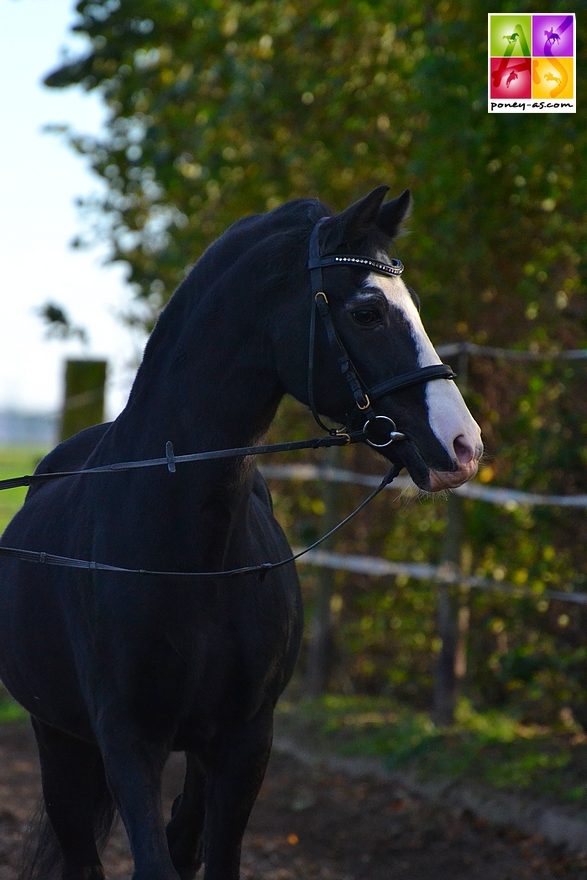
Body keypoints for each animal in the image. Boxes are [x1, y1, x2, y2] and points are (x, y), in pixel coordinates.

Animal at [0, 187, 482, 880]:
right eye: (366, 312)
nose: (463, 445)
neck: (185, 555)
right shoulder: (127, 741)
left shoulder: (244, 742)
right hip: (59, 740)